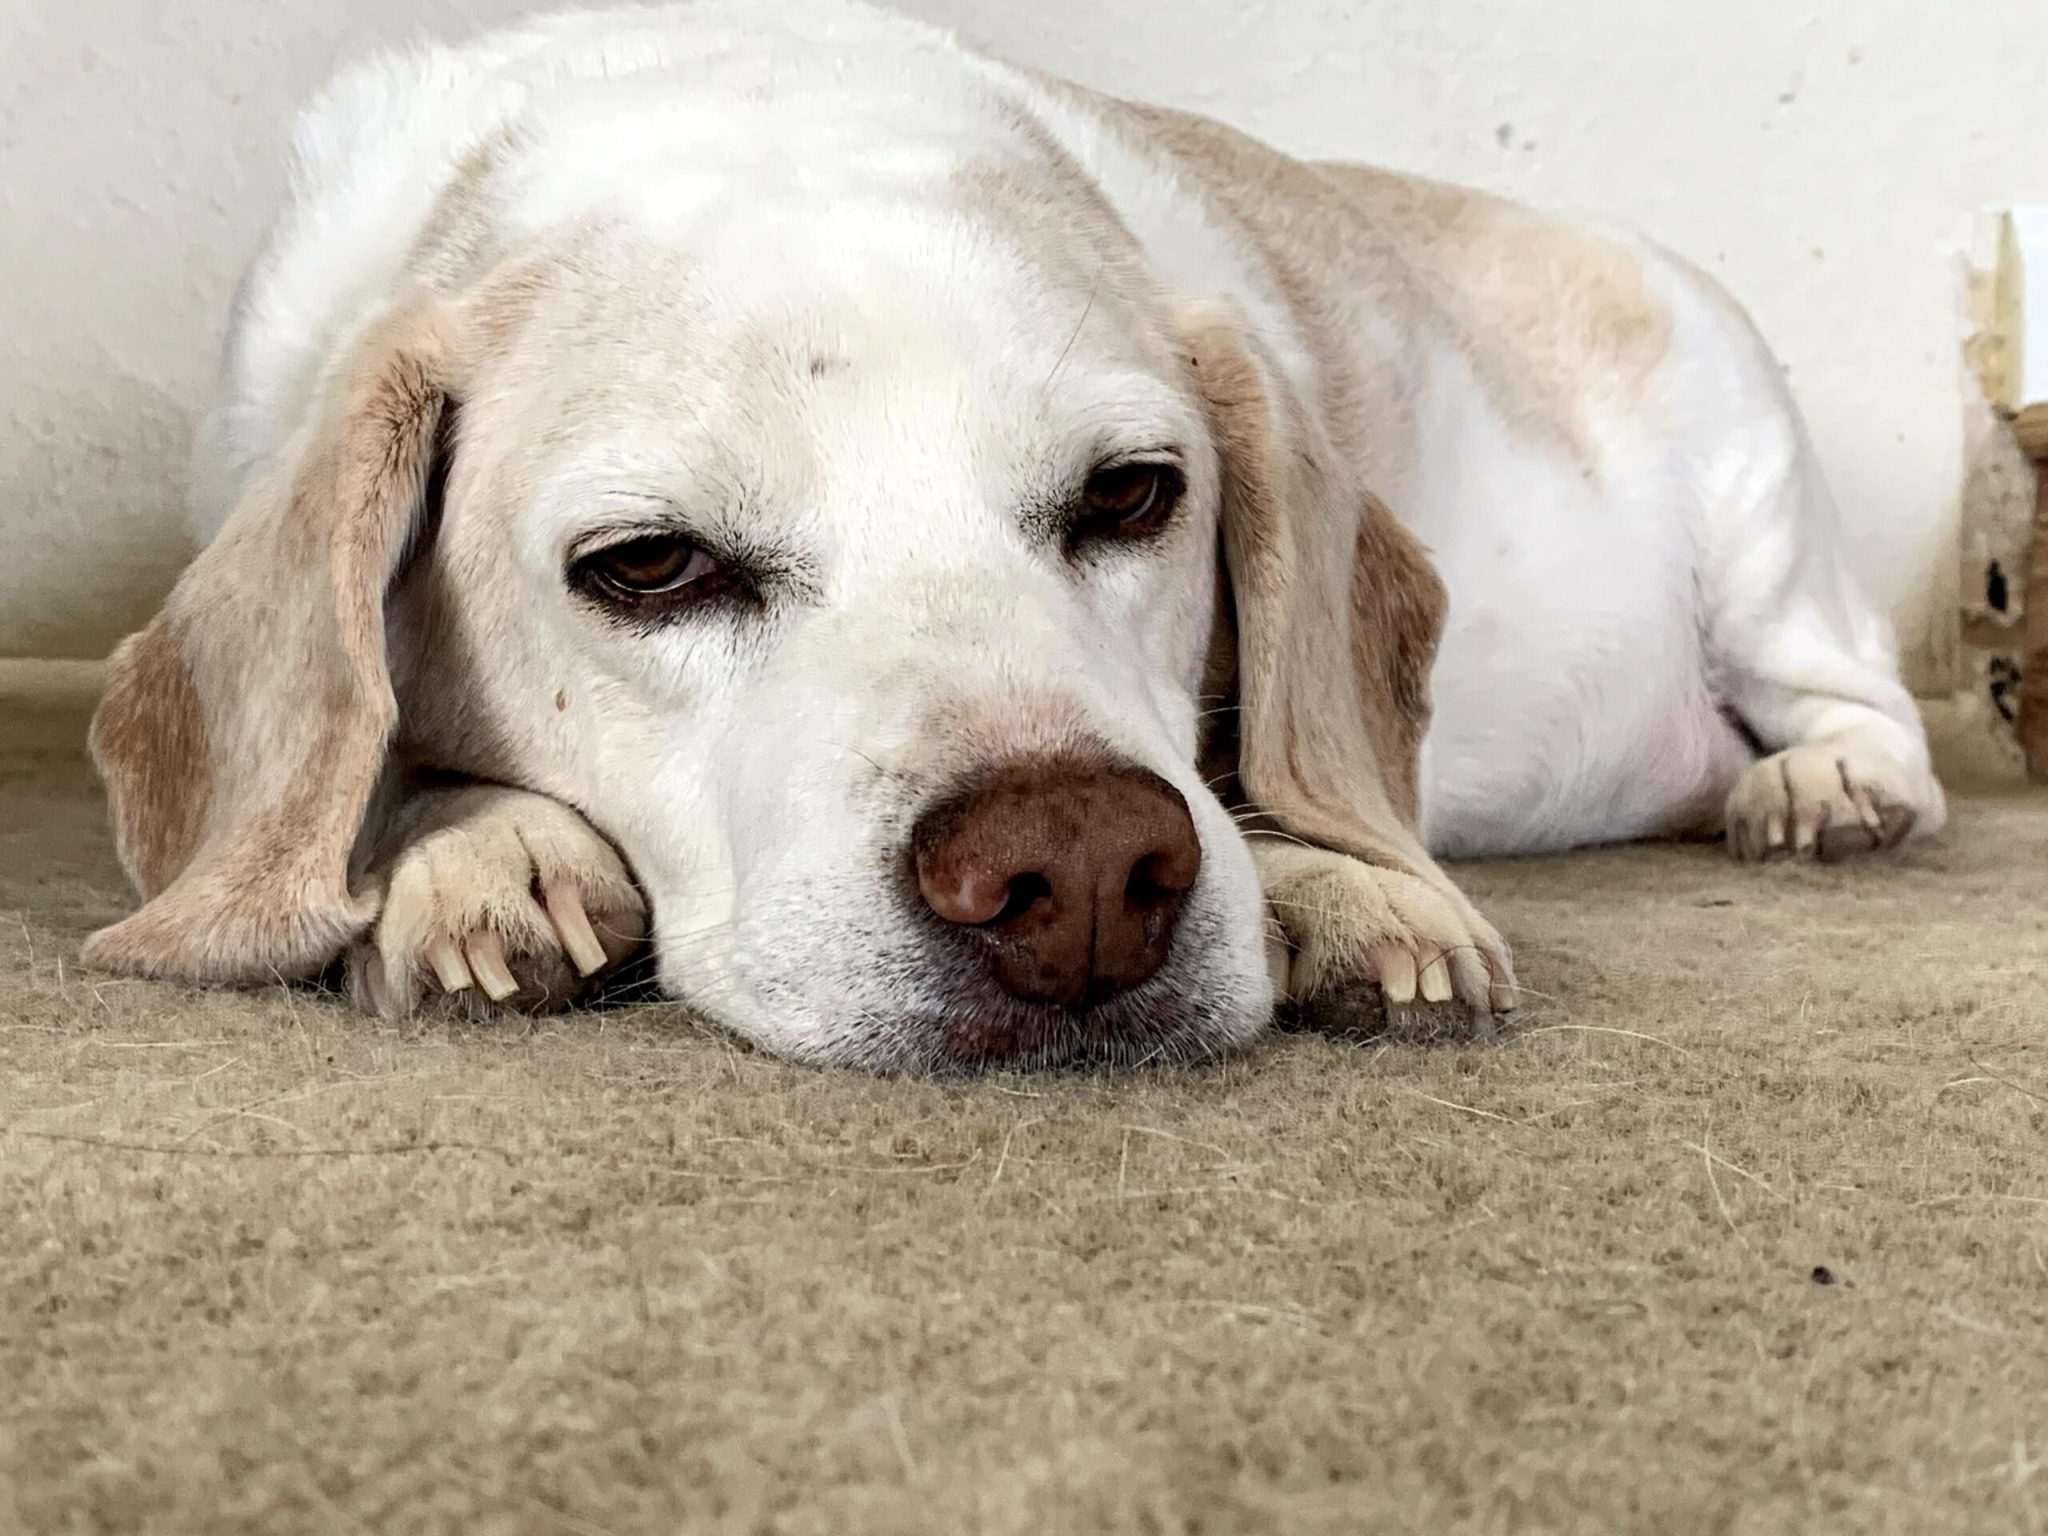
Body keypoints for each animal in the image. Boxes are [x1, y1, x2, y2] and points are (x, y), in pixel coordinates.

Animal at [79, 3, 1941, 1073]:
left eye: (1130, 492)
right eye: (649, 567)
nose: (1087, 877)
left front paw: (1339, 888)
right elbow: (378, 759)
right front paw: (479, 850)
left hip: (1758, 503)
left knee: (1861, 701)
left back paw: (1825, 790)